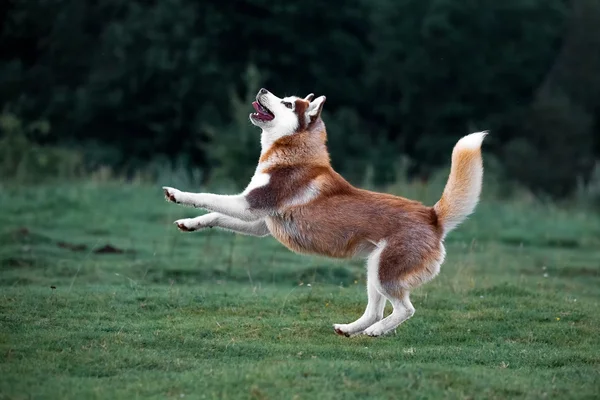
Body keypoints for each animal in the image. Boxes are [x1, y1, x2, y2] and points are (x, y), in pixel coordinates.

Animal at [164, 88, 488, 338]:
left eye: (287, 103)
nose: (263, 89)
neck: (292, 152)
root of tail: (433, 216)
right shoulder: (260, 223)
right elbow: (215, 216)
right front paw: (190, 223)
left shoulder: (249, 205)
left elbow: (207, 197)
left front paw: (177, 194)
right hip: (374, 268)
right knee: (375, 310)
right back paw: (351, 329)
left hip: (384, 272)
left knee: (406, 309)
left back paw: (377, 331)